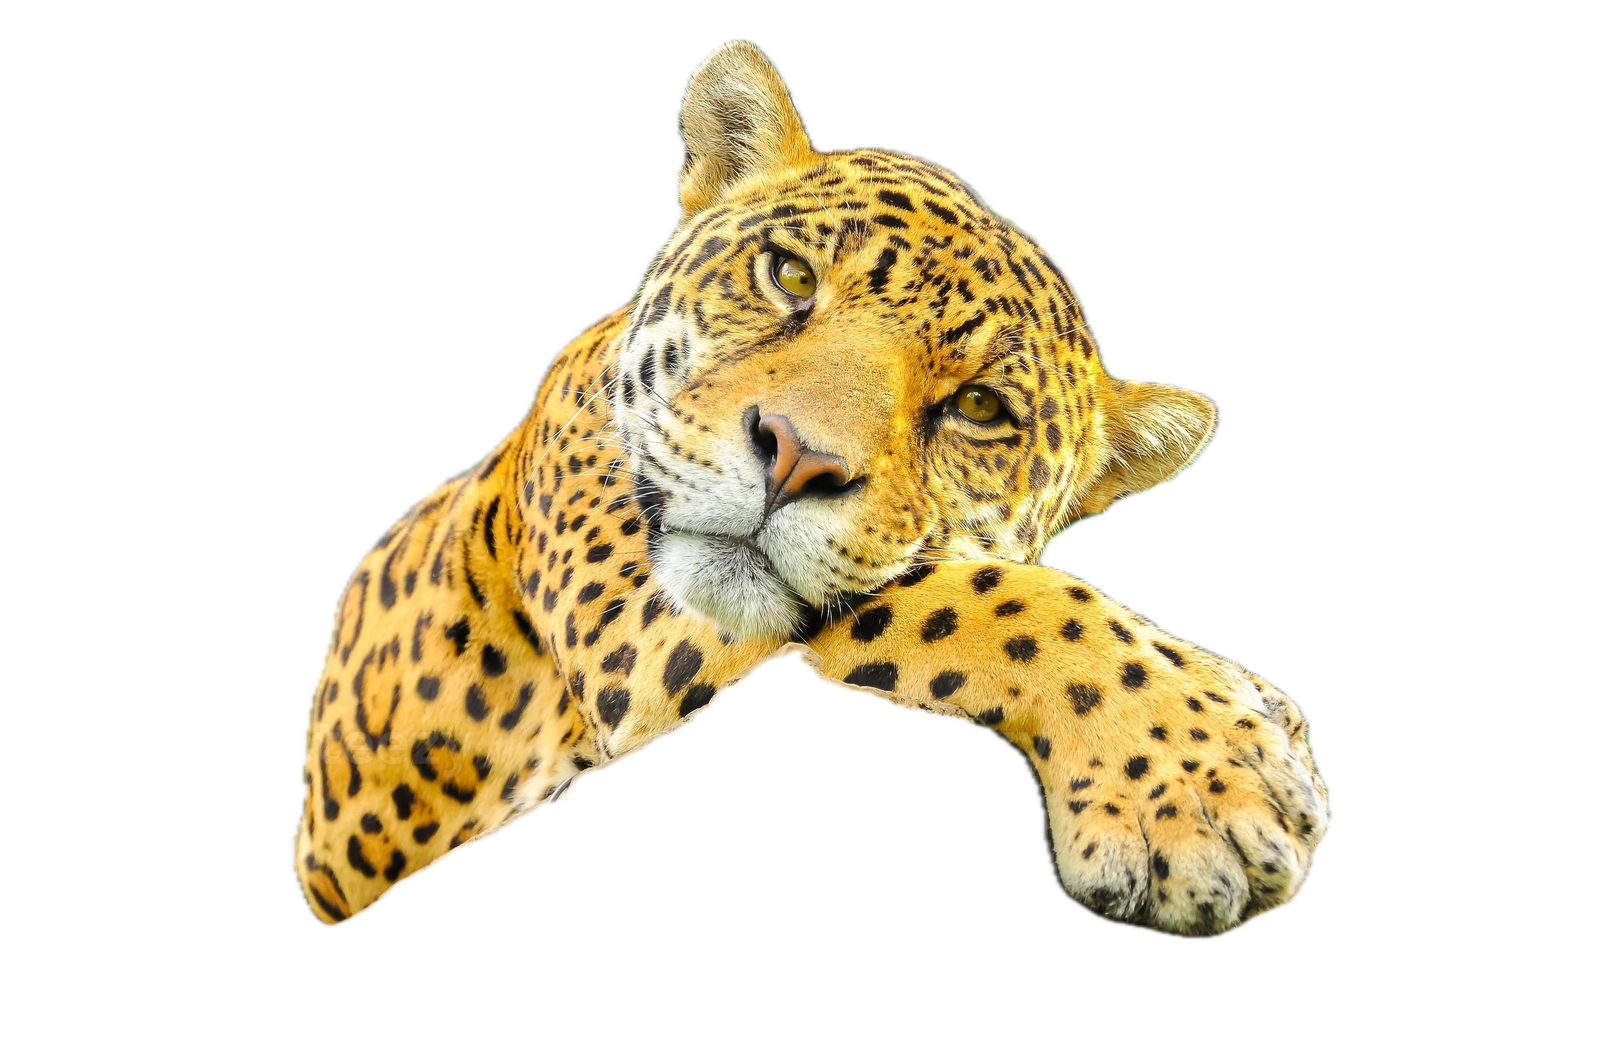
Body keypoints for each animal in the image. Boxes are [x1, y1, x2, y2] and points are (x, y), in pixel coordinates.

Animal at [292, 39, 1331, 936]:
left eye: (980, 407)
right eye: (789, 275)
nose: (795, 458)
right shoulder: (628, 632)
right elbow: (978, 596)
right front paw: (1211, 772)